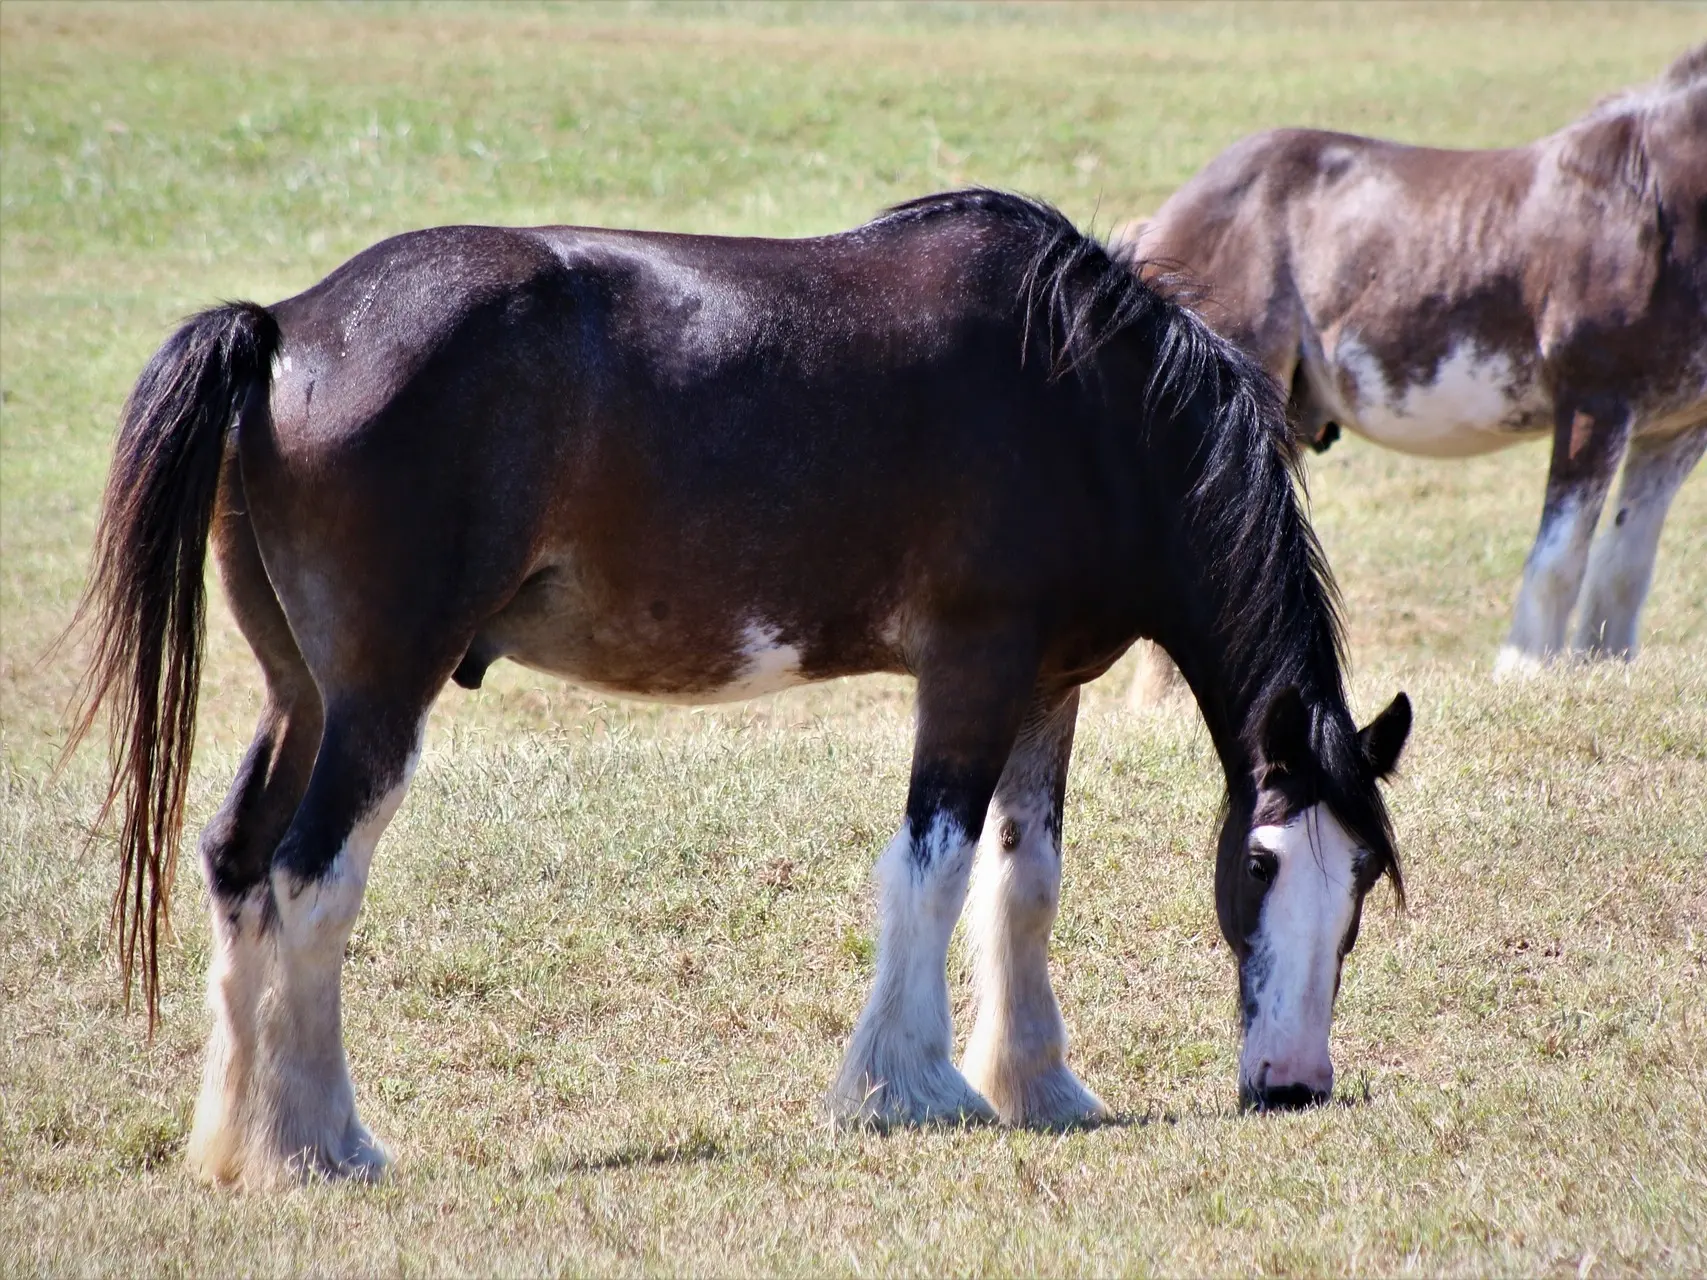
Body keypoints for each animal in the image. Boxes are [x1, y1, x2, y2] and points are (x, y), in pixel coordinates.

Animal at [73, 192, 1413, 1194]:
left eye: (1359, 881)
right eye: (1260, 862)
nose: (1293, 1088)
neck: (1085, 401)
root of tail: (285, 326)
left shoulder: (1047, 687)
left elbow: (1023, 879)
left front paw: (1040, 1085)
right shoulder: (973, 670)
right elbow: (931, 866)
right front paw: (908, 1089)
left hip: (300, 696)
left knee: (240, 867)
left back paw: (240, 1144)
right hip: (376, 701)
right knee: (310, 881)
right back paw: (323, 1145)